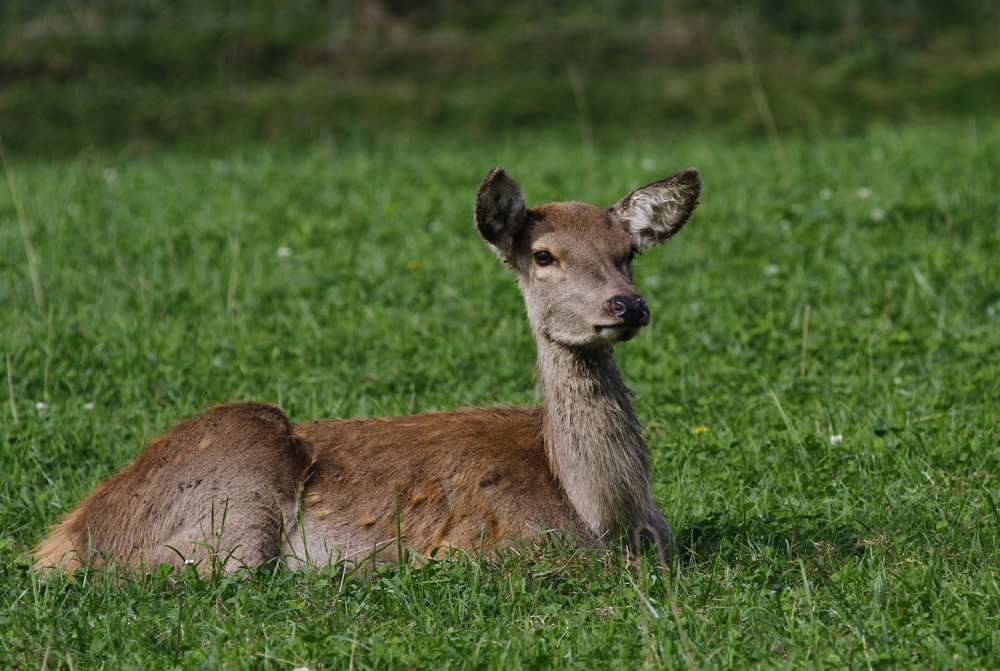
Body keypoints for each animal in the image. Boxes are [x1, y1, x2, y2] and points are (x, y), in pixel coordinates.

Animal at [33, 165, 704, 576]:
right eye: (543, 255)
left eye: (628, 253)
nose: (627, 305)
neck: (606, 522)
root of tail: (65, 538)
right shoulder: (492, 548)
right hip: (235, 499)